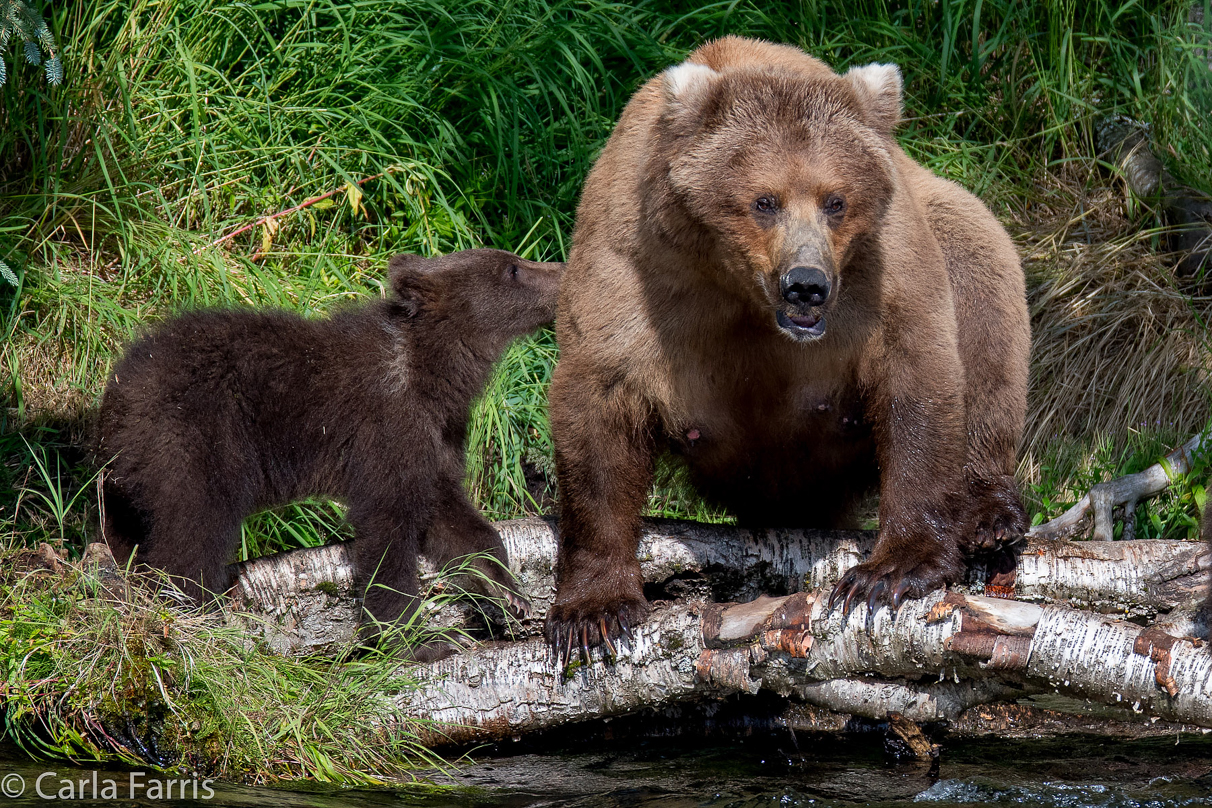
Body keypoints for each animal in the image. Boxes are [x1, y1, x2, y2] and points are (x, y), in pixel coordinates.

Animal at [99, 247, 562, 644]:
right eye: (512, 268)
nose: (560, 268)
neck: (434, 376)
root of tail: (118, 389)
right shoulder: (385, 426)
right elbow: (389, 529)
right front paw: (411, 637)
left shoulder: (437, 436)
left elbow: (451, 513)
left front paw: (509, 590)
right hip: (197, 435)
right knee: (194, 527)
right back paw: (187, 612)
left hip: (137, 469)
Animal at [545, 37, 1027, 658]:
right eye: (764, 201)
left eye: (835, 200)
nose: (806, 283)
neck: (736, 288)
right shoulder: (635, 267)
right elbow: (597, 409)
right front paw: (594, 611)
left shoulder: (879, 270)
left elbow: (916, 377)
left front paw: (890, 571)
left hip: (948, 224)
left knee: (981, 289)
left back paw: (989, 516)